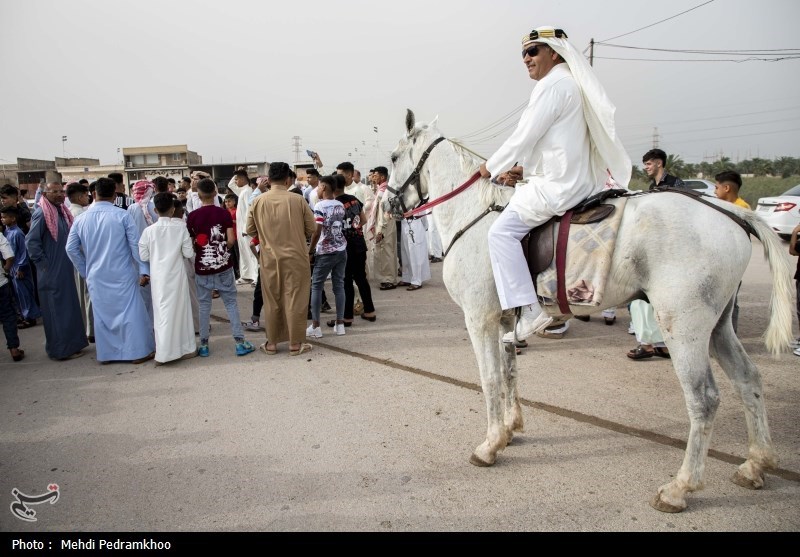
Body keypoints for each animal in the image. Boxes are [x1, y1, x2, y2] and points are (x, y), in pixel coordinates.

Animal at [388, 109, 792, 512]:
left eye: (392, 158)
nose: (390, 205)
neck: (472, 214)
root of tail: (728, 212)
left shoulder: (479, 318)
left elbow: (489, 379)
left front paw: (490, 445)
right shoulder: (503, 320)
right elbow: (509, 373)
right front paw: (510, 429)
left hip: (684, 328)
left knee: (703, 399)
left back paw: (680, 488)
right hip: (719, 326)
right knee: (748, 379)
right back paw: (756, 463)